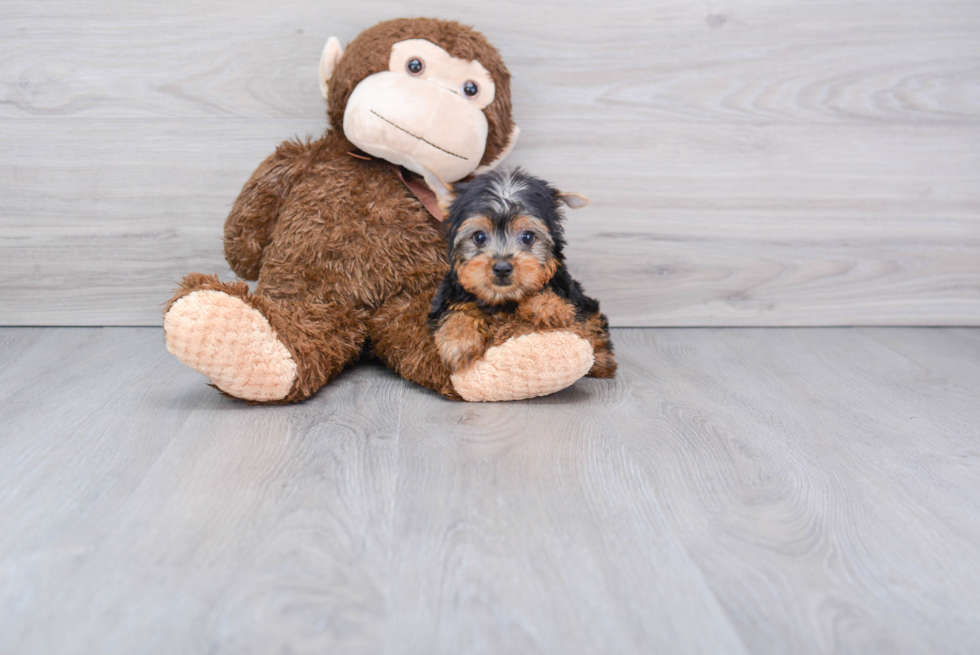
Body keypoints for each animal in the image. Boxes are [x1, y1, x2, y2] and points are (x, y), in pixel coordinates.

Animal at [426, 168, 612, 380]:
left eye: (528, 237)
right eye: (479, 237)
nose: (502, 268)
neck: (502, 299)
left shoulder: (571, 295)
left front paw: (548, 305)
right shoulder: (448, 295)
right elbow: (453, 312)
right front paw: (459, 340)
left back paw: (602, 362)